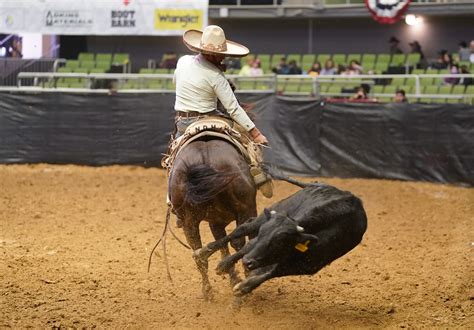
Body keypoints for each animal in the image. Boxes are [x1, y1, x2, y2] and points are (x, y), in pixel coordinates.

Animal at [169, 138, 258, 300]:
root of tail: (205, 157)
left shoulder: (215, 221)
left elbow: (222, 244)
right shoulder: (247, 211)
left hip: (189, 221)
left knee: (198, 253)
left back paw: (208, 292)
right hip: (246, 209)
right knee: (240, 241)